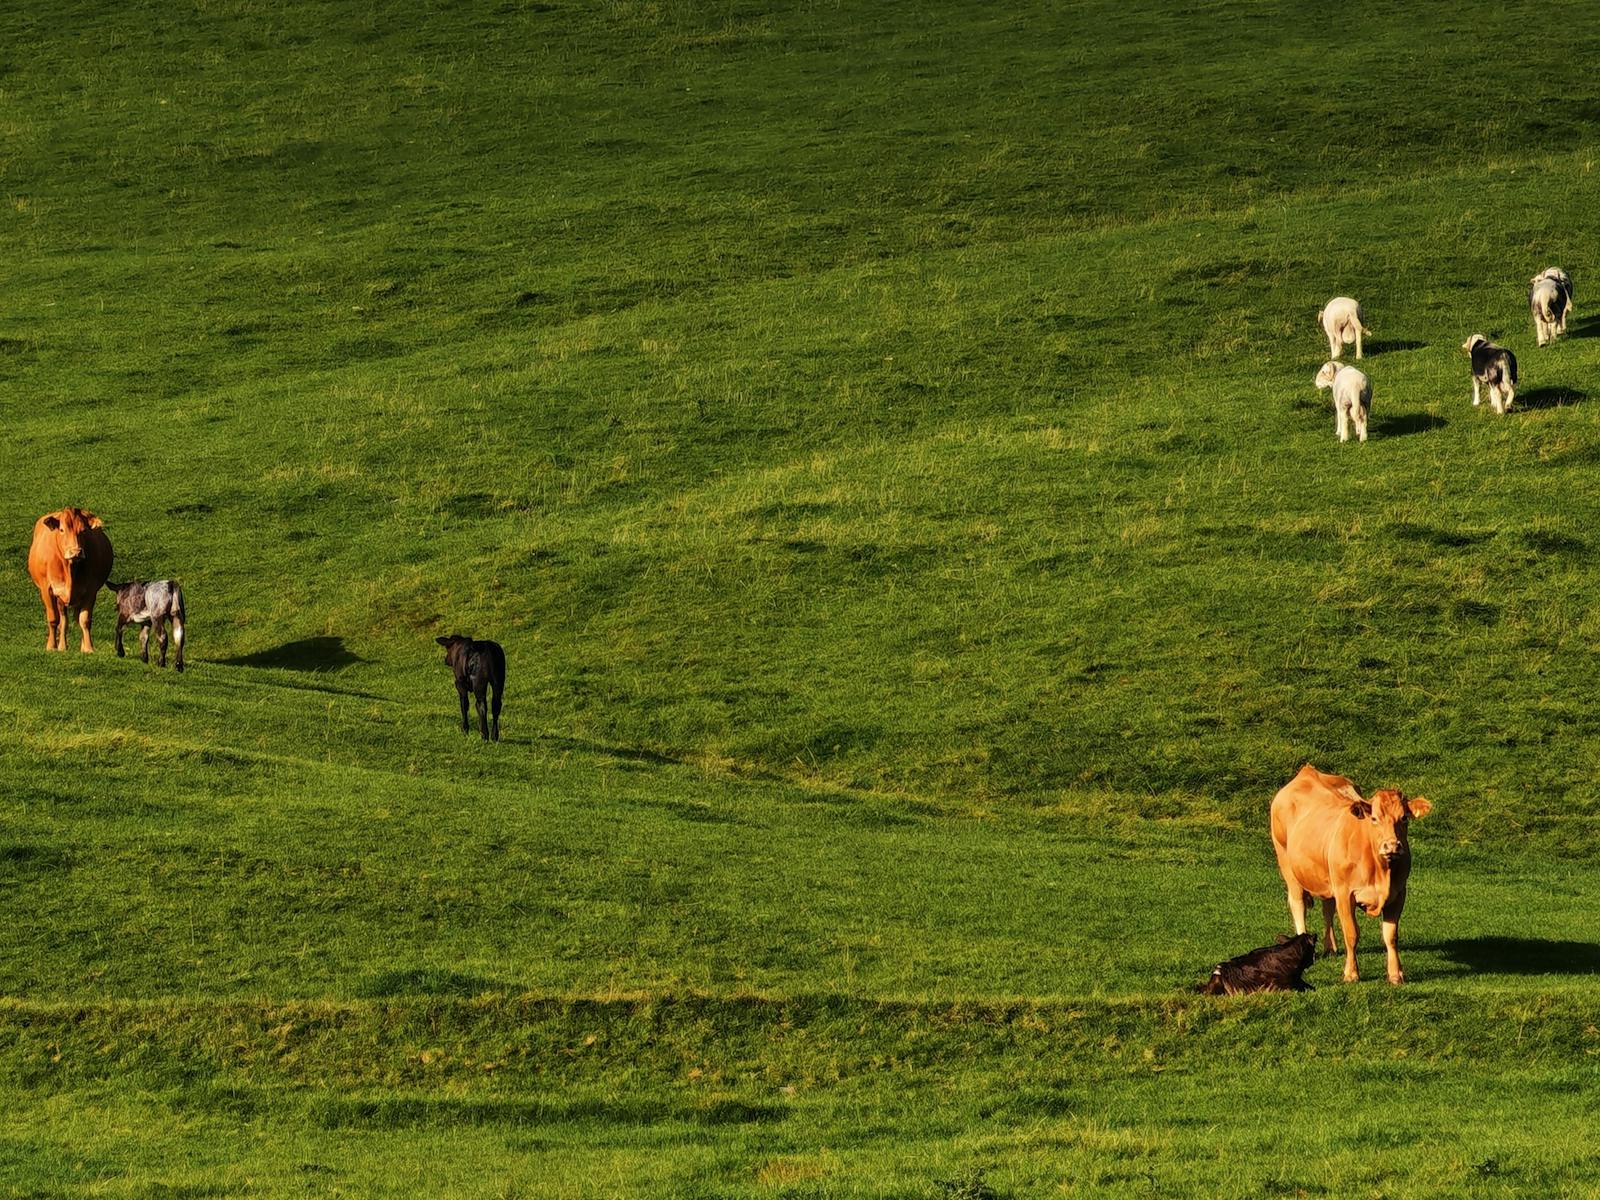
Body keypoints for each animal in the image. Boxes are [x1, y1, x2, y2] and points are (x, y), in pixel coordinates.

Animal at [26, 507, 114, 653]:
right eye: (61, 530)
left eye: (84, 530)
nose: (76, 552)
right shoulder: (47, 589)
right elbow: (53, 619)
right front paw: (51, 646)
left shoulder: (91, 591)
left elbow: (84, 620)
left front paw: (88, 648)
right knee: (63, 620)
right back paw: (62, 646)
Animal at [1269, 764, 1432, 985]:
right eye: (1374, 818)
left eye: (1404, 818)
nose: (1391, 846)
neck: (1380, 870)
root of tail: (1306, 772)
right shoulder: (1345, 893)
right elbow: (1352, 933)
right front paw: (1351, 973)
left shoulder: (1398, 893)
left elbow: (1391, 936)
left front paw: (1395, 974)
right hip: (1287, 863)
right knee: (1298, 904)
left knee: (1327, 907)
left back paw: (1330, 947)